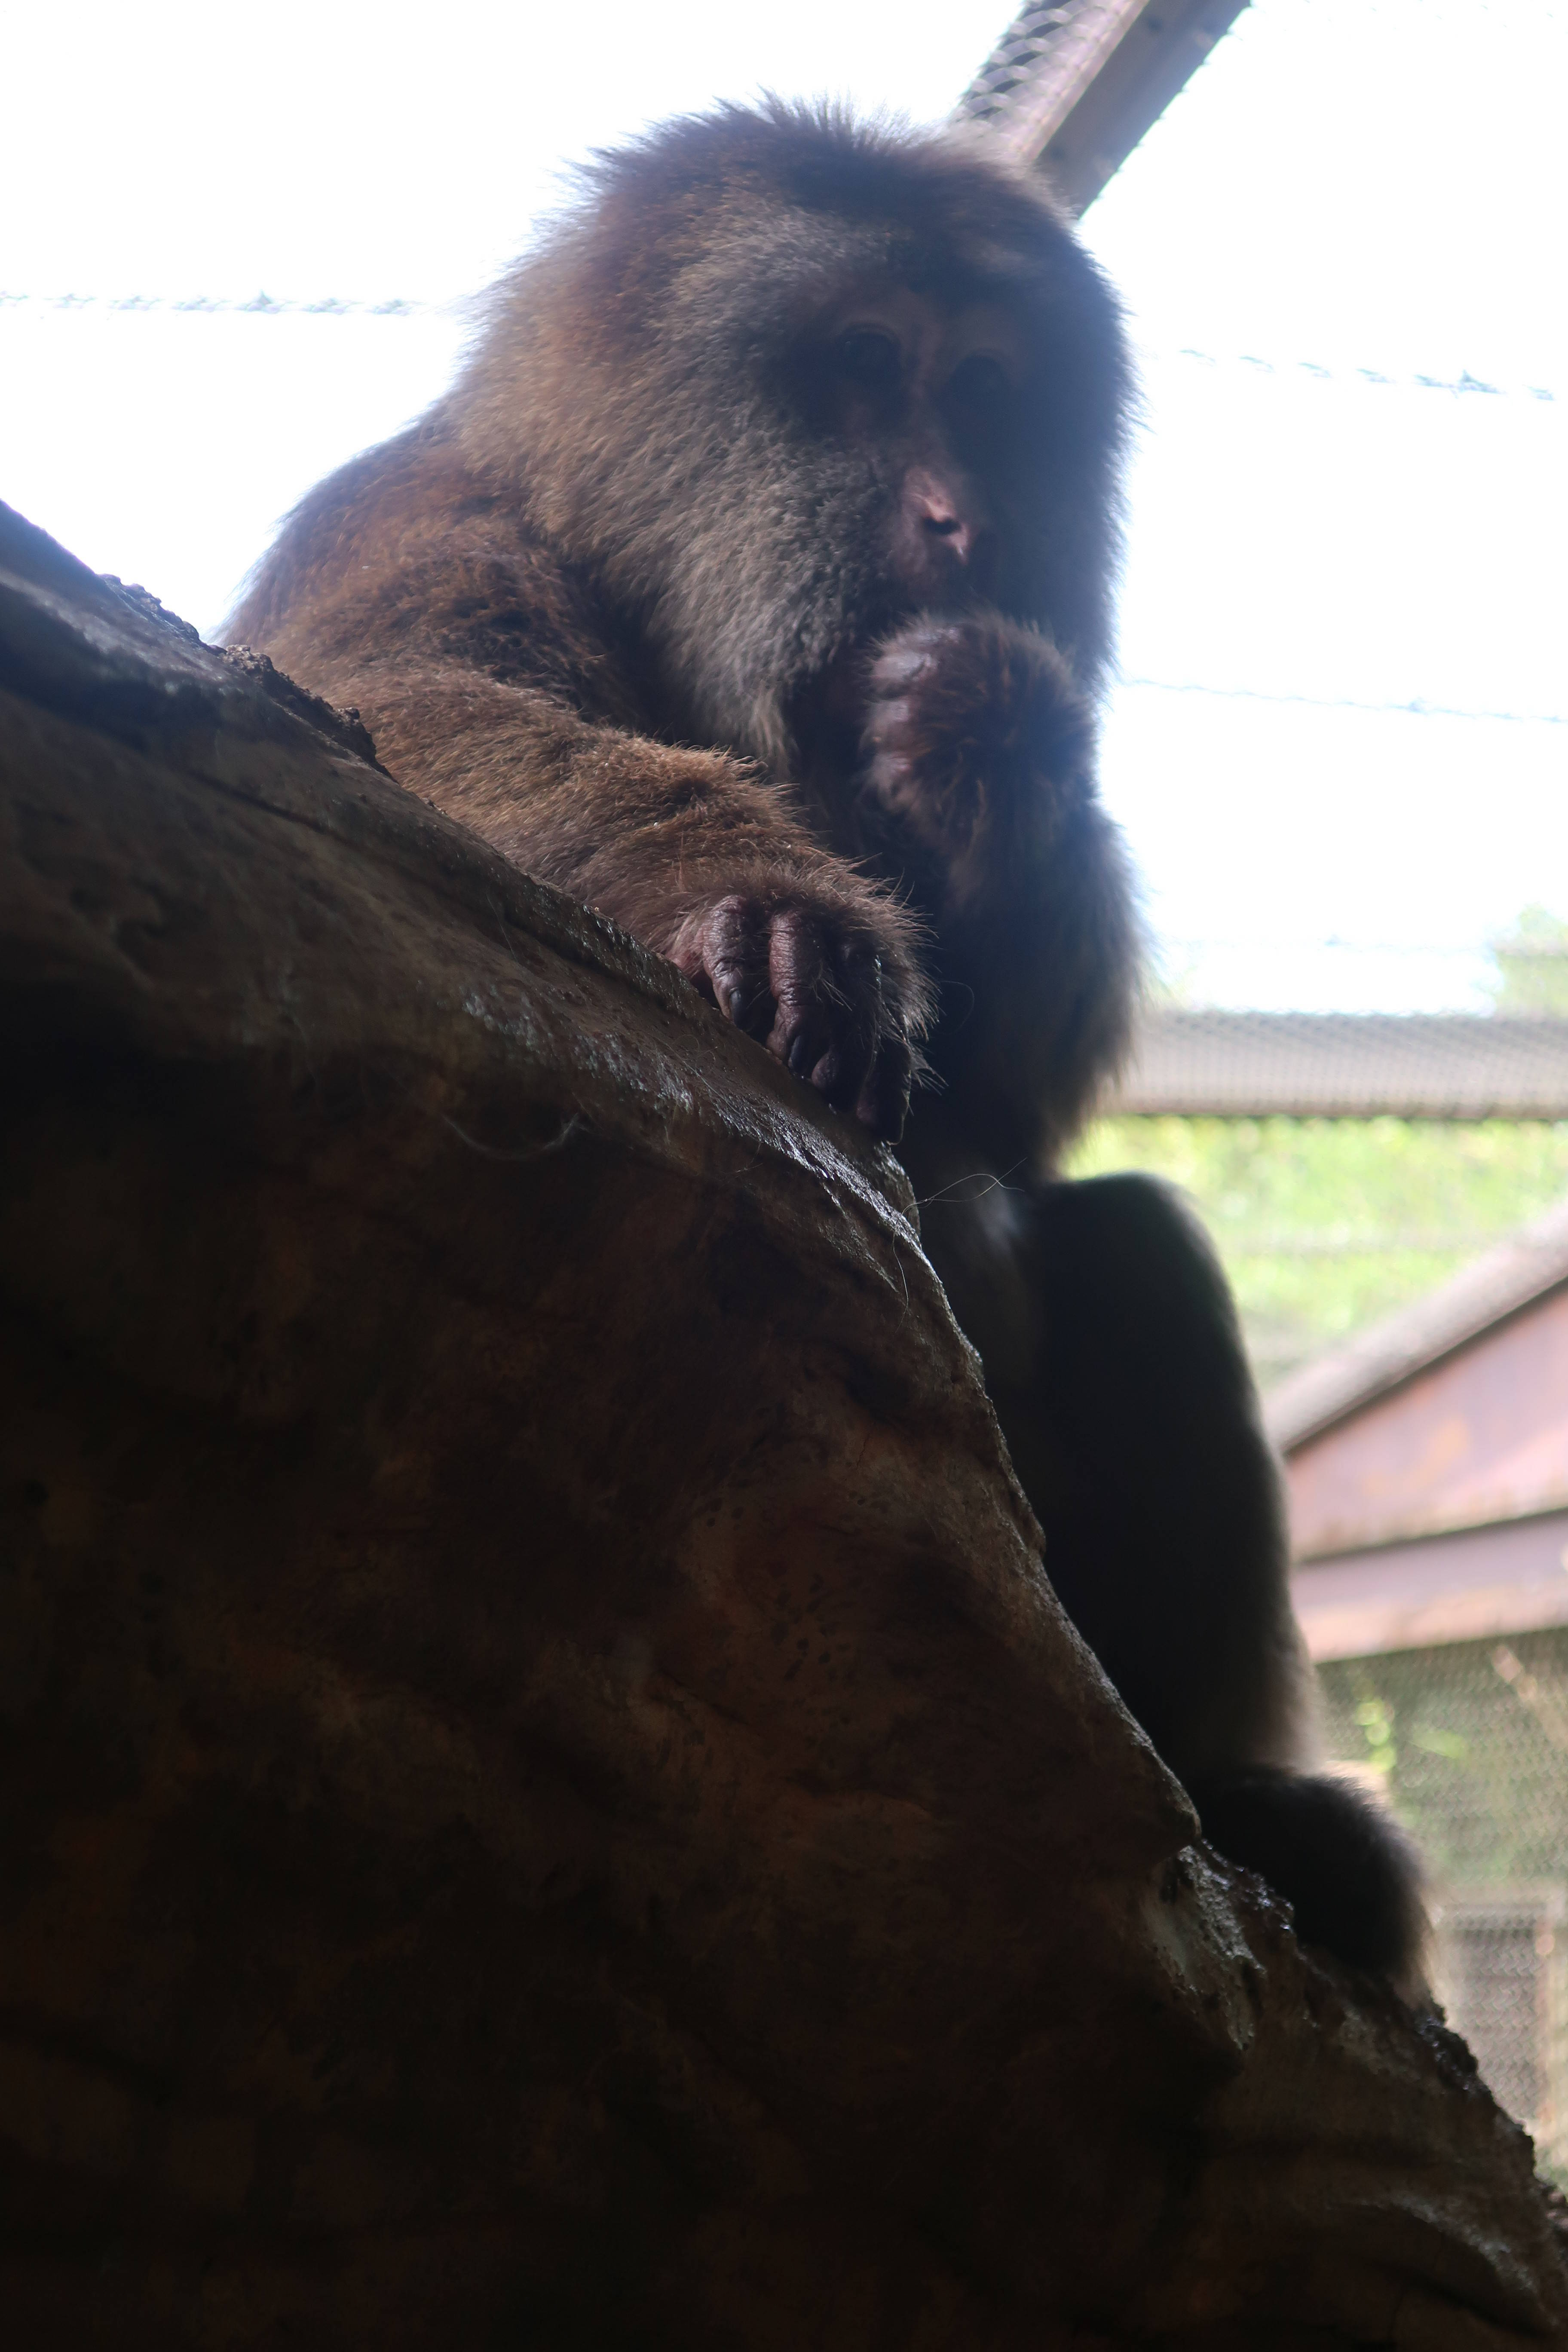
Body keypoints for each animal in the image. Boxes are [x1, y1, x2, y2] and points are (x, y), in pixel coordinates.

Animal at [230, 106, 1420, 1985]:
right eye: (865, 366)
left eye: (988, 391)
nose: (959, 521)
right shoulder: (409, 520)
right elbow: (396, 715)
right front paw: (735, 892)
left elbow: (1016, 1100)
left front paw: (997, 748)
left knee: (1120, 1240)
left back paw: (1233, 1806)